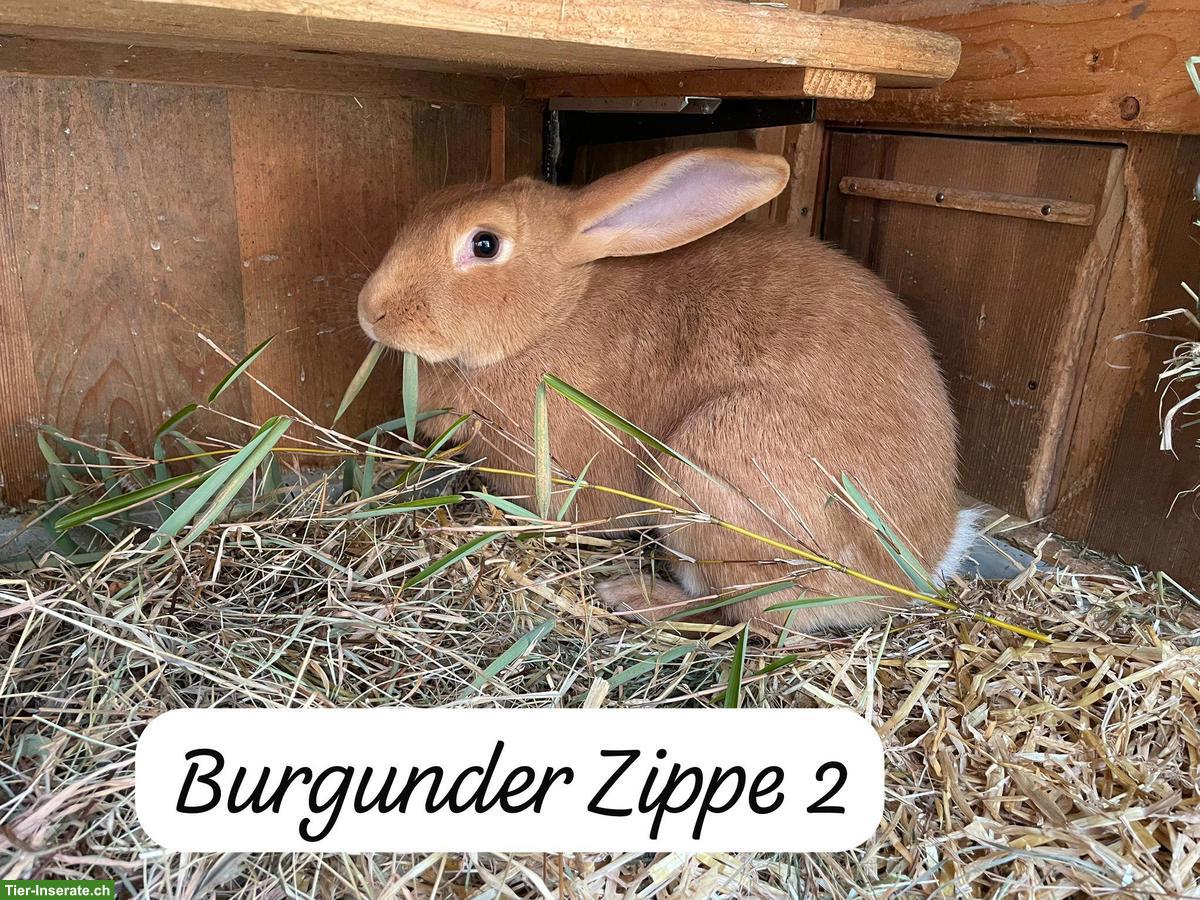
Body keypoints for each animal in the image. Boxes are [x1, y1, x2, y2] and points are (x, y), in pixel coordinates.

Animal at [357, 147, 975, 630]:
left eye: (484, 244)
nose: (371, 311)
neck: (556, 312)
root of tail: (919, 566)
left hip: (708, 473)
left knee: (742, 617)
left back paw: (631, 595)